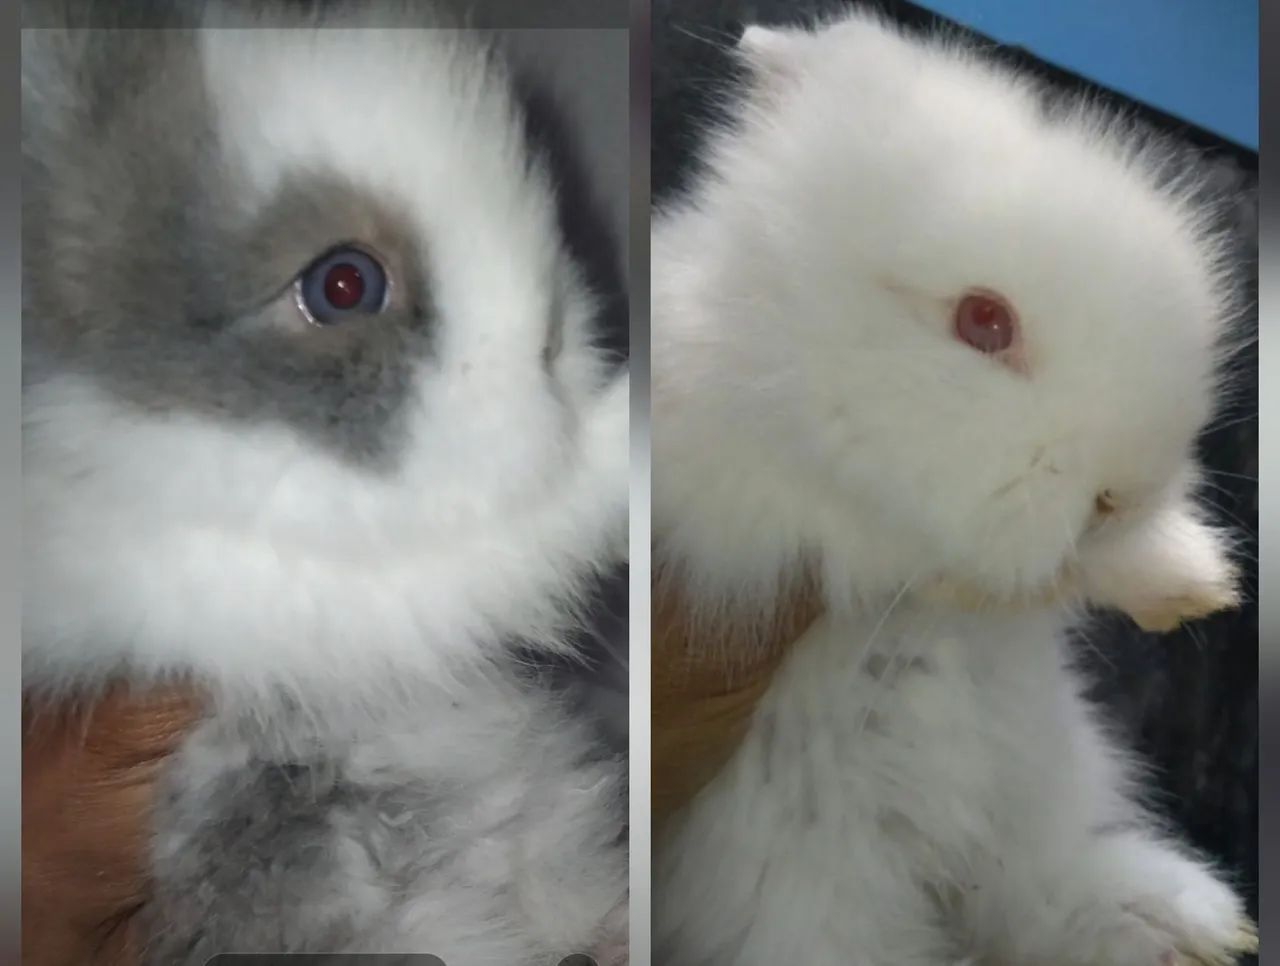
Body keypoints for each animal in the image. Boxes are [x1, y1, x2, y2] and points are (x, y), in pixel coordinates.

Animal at [651, 10, 1255, 966]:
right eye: (983, 321)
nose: (1121, 492)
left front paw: (1189, 582)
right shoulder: (741, 494)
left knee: (1038, 901)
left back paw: (1179, 922)